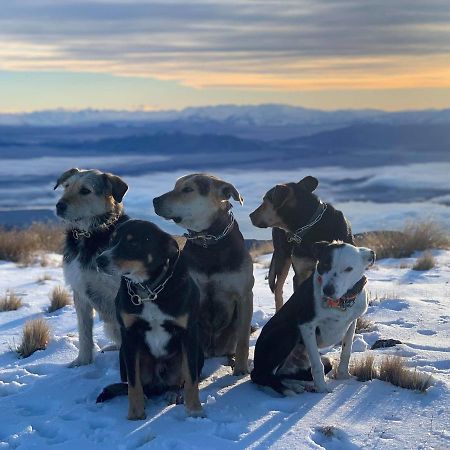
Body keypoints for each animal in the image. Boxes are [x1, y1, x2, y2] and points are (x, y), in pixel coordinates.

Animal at [95, 220, 204, 420]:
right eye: (112, 240)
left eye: (133, 243)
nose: (100, 260)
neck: (149, 291)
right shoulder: (129, 335)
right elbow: (133, 383)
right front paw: (135, 413)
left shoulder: (189, 333)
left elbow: (191, 378)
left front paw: (194, 409)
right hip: (123, 355)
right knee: (138, 385)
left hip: (197, 352)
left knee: (180, 381)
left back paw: (174, 393)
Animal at [250, 178, 356, 312]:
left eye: (265, 200)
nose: (250, 215)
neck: (310, 224)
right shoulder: (300, 274)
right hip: (282, 255)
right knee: (278, 289)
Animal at [251, 243, 374, 394]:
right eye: (325, 264)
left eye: (348, 269)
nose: (328, 290)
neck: (341, 302)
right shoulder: (306, 325)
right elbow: (316, 363)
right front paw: (321, 388)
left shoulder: (351, 323)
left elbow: (346, 351)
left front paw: (344, 376)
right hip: (289, 331)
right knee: (262, 376)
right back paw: (288, 389)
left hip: (322, 361)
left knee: (280, 375)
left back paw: (298, 385)